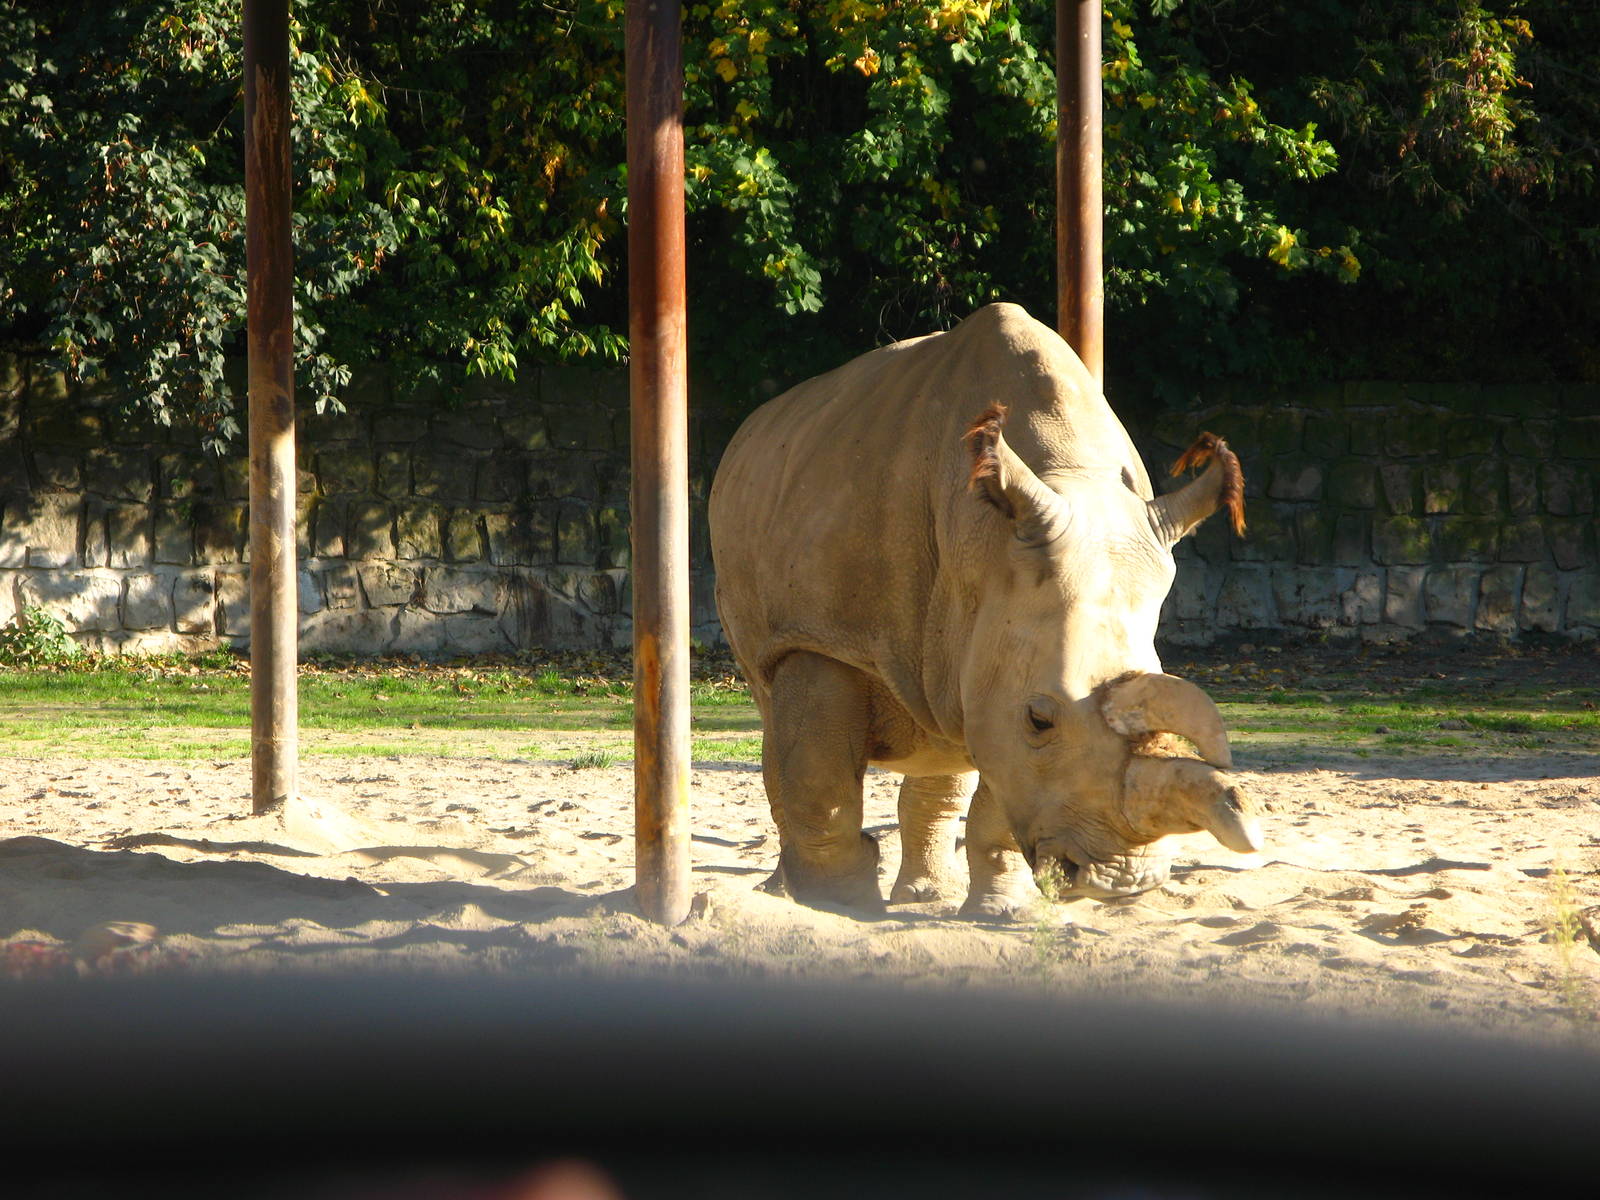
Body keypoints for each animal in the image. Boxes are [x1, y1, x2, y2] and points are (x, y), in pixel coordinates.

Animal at [708, 303, 1261, 916]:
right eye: (1040, 718)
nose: (1122, 883)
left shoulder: (1002, 642)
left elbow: (999, 794)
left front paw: (1004, 911)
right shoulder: (822, 637)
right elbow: (820, 787)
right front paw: (839, 909)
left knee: (944, 743)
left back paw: (926, 897)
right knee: (775, 724)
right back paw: (784, 892)